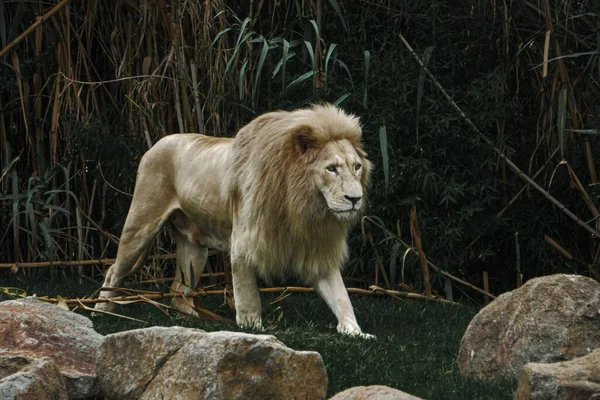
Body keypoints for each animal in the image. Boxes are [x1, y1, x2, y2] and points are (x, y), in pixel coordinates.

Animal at [95, 104, 372, 338]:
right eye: (331, 169)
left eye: (356, 167)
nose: (355, 199)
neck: (302, 206)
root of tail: (157, 143)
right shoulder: (244, 244)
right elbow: (248, 295)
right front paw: (253, 329)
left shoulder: (317, 249)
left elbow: (341, 296)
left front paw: (355, 332)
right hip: (141, 226)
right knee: (113, 271)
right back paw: (101, 311)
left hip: (194, 250)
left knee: (177, 290)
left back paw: (194, 321)